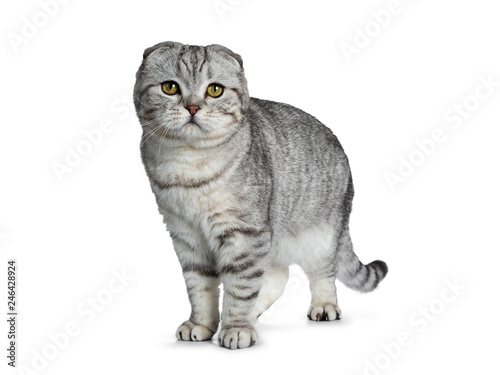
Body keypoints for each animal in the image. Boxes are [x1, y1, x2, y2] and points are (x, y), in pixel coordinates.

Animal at [132, 41, 386, 350]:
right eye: (170, 87)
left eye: (214, 90)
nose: (192, 107)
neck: (189, 166)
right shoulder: (186, 235)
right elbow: (200, 288)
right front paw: (203, 324)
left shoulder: (245, 234)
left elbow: (239, 286)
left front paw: (236, 328)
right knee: (278, 276)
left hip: (320, 236)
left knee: (322, 272)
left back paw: (322, 305)